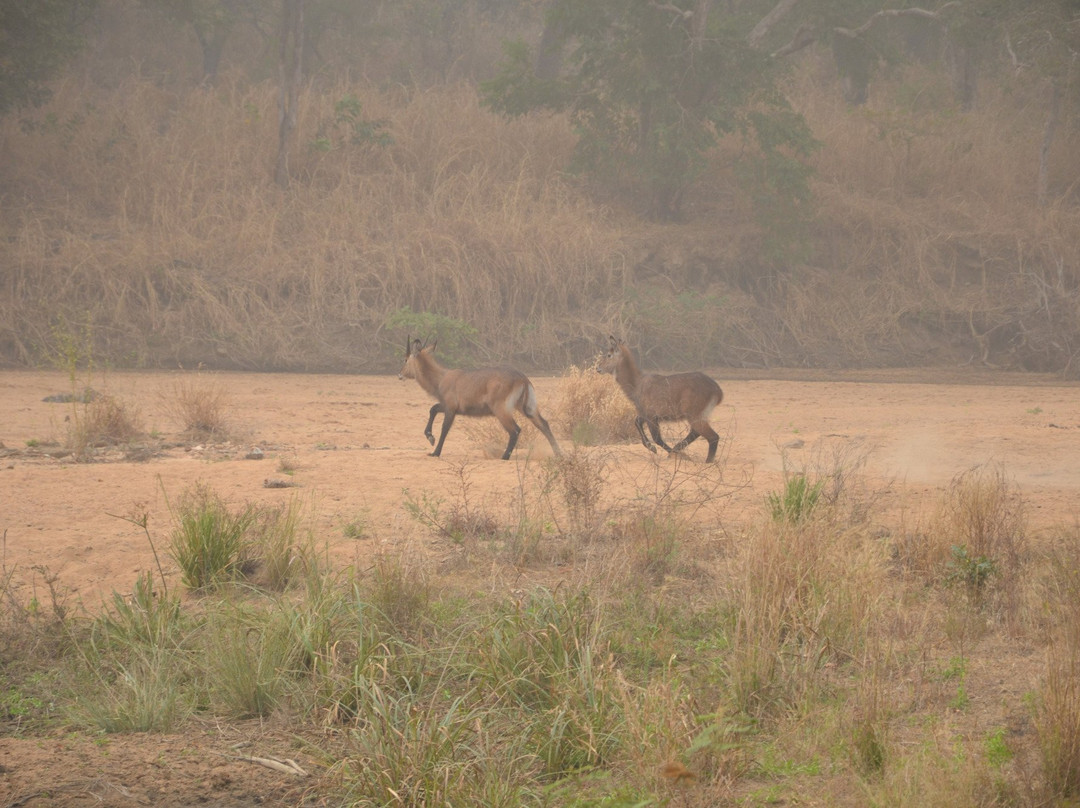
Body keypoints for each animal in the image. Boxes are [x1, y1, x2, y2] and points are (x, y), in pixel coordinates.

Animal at [399, 337, 565, 460]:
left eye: (405, 359)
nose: (400, 375)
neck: (441, 378)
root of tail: (522, 378)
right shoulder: (448, 406)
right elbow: (432, 409)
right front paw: (430, 438)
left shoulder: (450, 408)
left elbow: (444, 427)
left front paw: (435, 451)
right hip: (527, 408)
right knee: (543, 424)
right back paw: (558, 454)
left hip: (501, 410)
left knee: (515, 430)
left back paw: (504, 457)